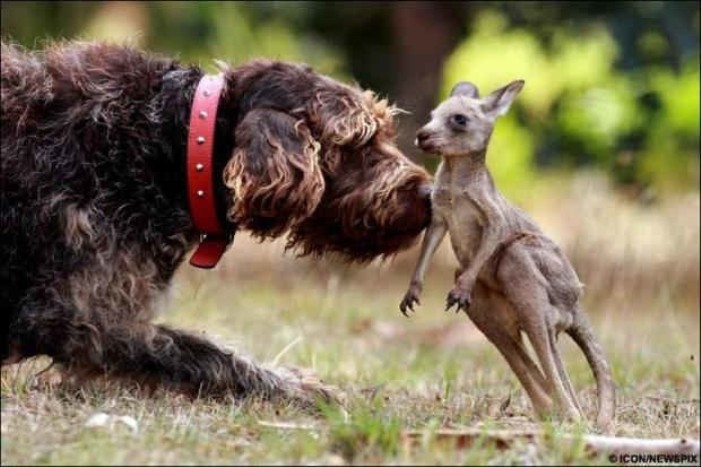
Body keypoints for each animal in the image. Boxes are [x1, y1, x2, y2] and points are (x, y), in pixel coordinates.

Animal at [0, 39, 432, 406]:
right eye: (359, 141)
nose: (428, 194)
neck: (176, 143)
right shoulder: (81, 319)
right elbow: (208, 354)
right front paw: (300, 388)